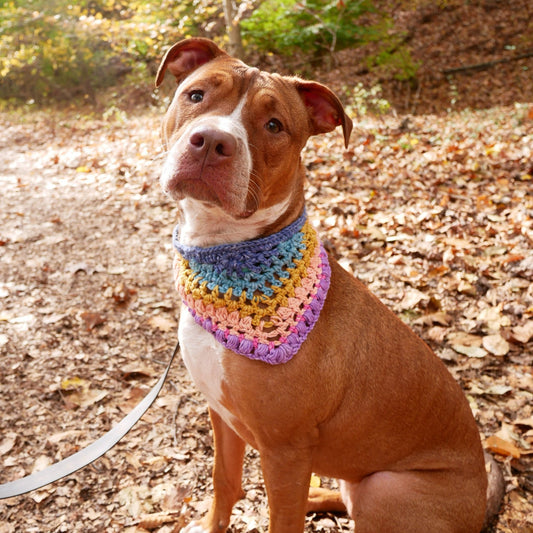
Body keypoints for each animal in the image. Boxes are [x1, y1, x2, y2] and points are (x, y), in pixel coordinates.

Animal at [155, 38, 502, 532]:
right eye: (196, 95)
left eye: (274, 125)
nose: (213, 141)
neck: (224, 253)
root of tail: (477, 511)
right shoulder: (221, 415)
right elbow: (225, 485)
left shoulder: (285, 450)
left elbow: (282, 519)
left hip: (385, 488)